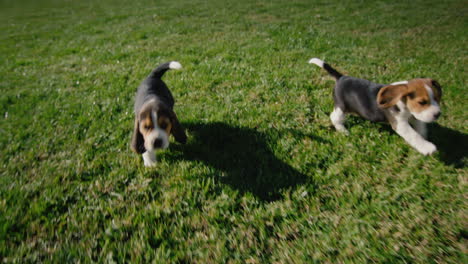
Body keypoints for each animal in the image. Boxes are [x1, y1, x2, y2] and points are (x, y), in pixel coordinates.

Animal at [308, 57, 440, 155]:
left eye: (437, 98)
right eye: (422, 102)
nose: (438, 114)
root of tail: (341, 77)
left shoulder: (414, 116)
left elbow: (421, 127)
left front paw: (423, 138)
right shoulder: (400, 124)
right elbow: (413, 135)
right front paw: (427, 147)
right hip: (342, 107)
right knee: (334, 117)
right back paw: (343, 130)